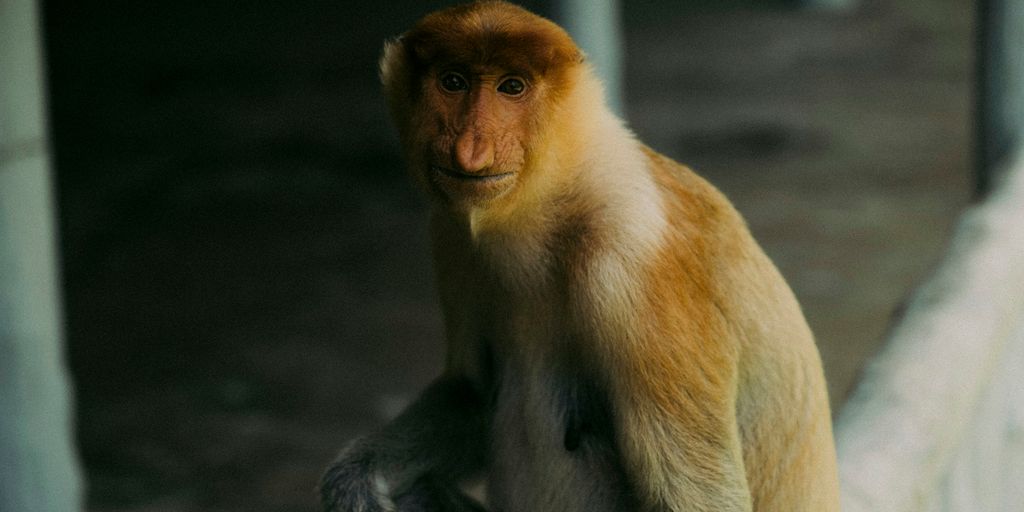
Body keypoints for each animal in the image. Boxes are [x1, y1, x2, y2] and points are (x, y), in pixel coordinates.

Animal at [321, 1, 840, 511]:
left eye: (512, 87)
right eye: (453, 81)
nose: (471, 150)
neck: (556, 193)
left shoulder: (633, 261)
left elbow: (696, 497)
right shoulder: (451, 232)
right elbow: (469, 390)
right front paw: (354, 480)